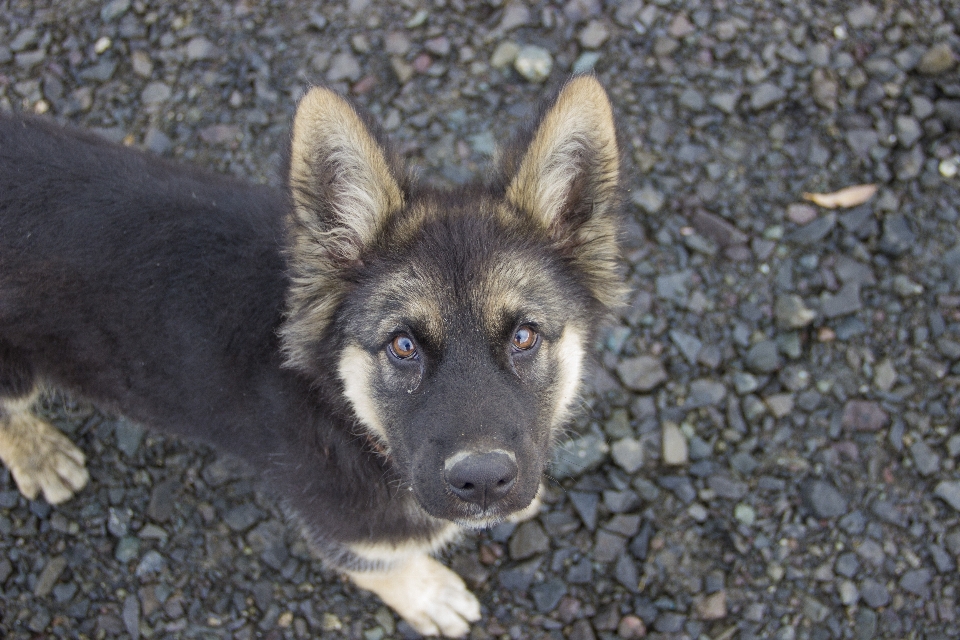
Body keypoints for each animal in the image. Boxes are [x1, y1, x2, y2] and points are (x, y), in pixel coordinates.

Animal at [0, 76, 624, 636]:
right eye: (403, 346)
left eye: (524, 336)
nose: (485, 482)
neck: (343, 411)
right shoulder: (344, 521)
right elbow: (379, 564)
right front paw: (428, 594)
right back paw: (39, 454)